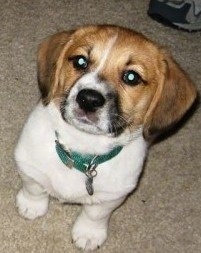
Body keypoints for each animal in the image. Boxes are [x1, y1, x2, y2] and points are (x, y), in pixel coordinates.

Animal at [14, 24, 197, 250]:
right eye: (80, 61)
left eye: (131, 77)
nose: (89, 99)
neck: (81, 148)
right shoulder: (28, 165)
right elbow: (34, 188)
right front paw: (31, 207)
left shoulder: (112, 196)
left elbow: (95, 215)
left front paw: (88, 234)